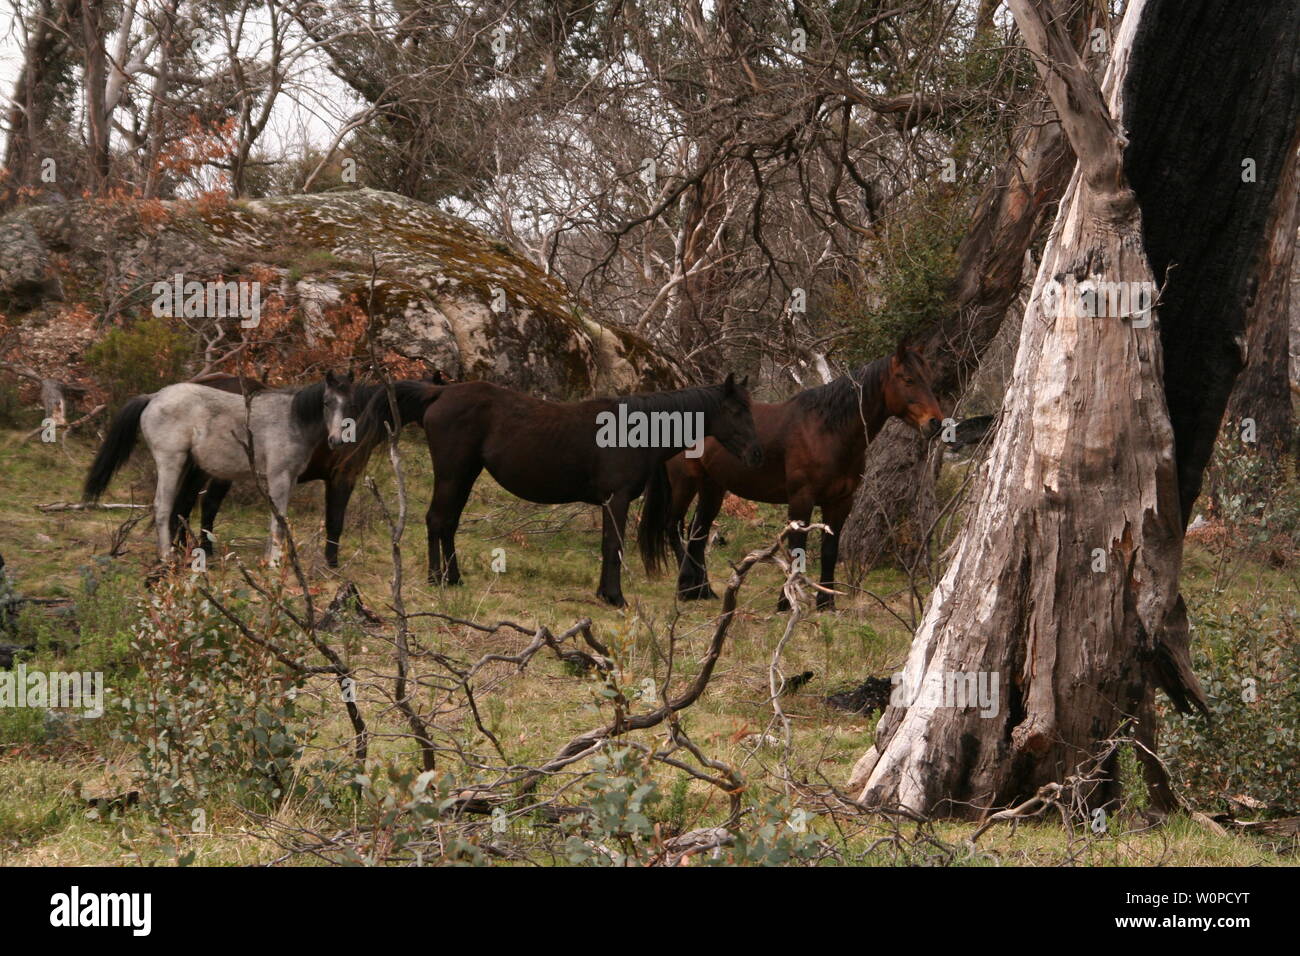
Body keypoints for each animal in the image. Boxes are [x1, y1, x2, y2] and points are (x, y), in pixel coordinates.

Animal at [82, 371, 361, 567]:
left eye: (350, 404)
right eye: (326, 402)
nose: (338, 440)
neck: (291, 420)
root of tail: (154, 397)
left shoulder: (288, 480)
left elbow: (277, 520)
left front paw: (270, 558)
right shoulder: (278, 478)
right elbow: (279, 521)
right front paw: (273, 561)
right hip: (171, 461)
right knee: (162, 506)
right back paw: (166, 557)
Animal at [384, 374, 764, 606]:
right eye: (735, 410)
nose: (754, 455)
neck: (633, 431)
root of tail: (441, 392)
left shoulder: (612, 502)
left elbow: (608, 545)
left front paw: (604, 593)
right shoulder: (617, 499)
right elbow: (613, 546)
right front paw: (615, 597)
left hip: (465, 474)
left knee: (447, 522)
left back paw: (453, 578)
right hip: (453, 473)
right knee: (437, 520)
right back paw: (437, 578)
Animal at [655, 345, 941, 613]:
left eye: (929, 377)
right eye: (908, 379)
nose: (935, 423)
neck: (826, 431)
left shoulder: (840, 502)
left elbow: (829, 551)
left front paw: (826, 603)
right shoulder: (801, 499)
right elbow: (797, 549)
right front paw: (785, 602)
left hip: (712, 485)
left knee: (698, 532)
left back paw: (703, 591)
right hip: (684, 482)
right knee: (673, 526)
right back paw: (686, 588)